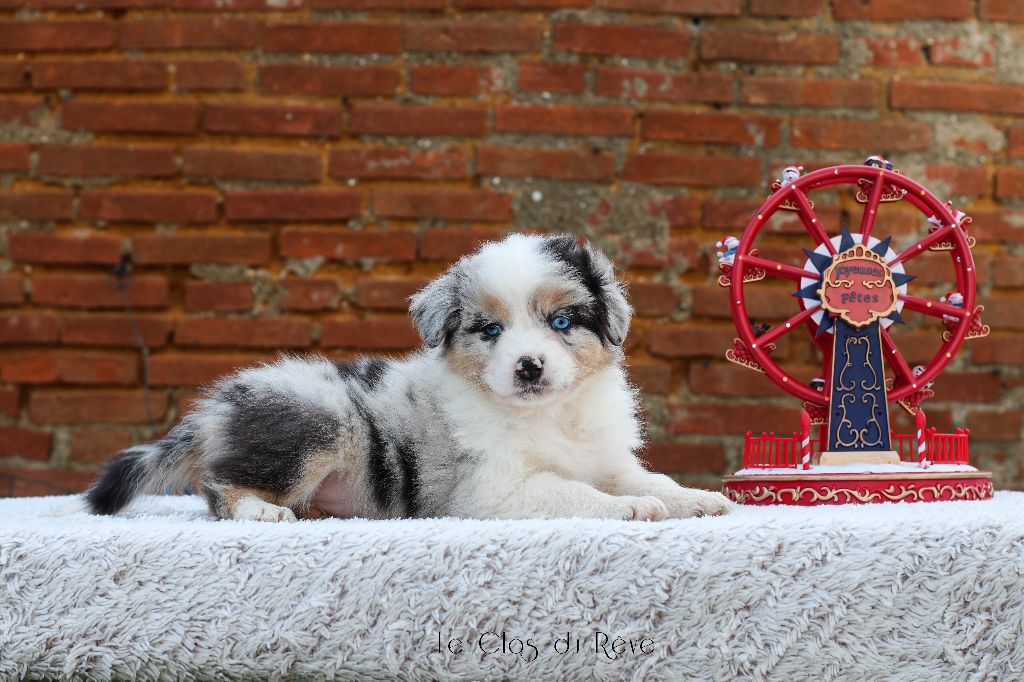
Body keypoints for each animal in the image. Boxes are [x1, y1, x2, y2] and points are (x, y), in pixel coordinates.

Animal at [86, 234, 733, 522]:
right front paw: (637, 510)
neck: (546, 415)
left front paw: (697, 499)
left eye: (563, 321)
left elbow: (646, 479)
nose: (529, 366)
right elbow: (576, 494)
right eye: (489, 329)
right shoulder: (493, 491)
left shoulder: (607, 459)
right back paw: (263, 512)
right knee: (220, 488)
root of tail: (222, 403)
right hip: (320, 424)